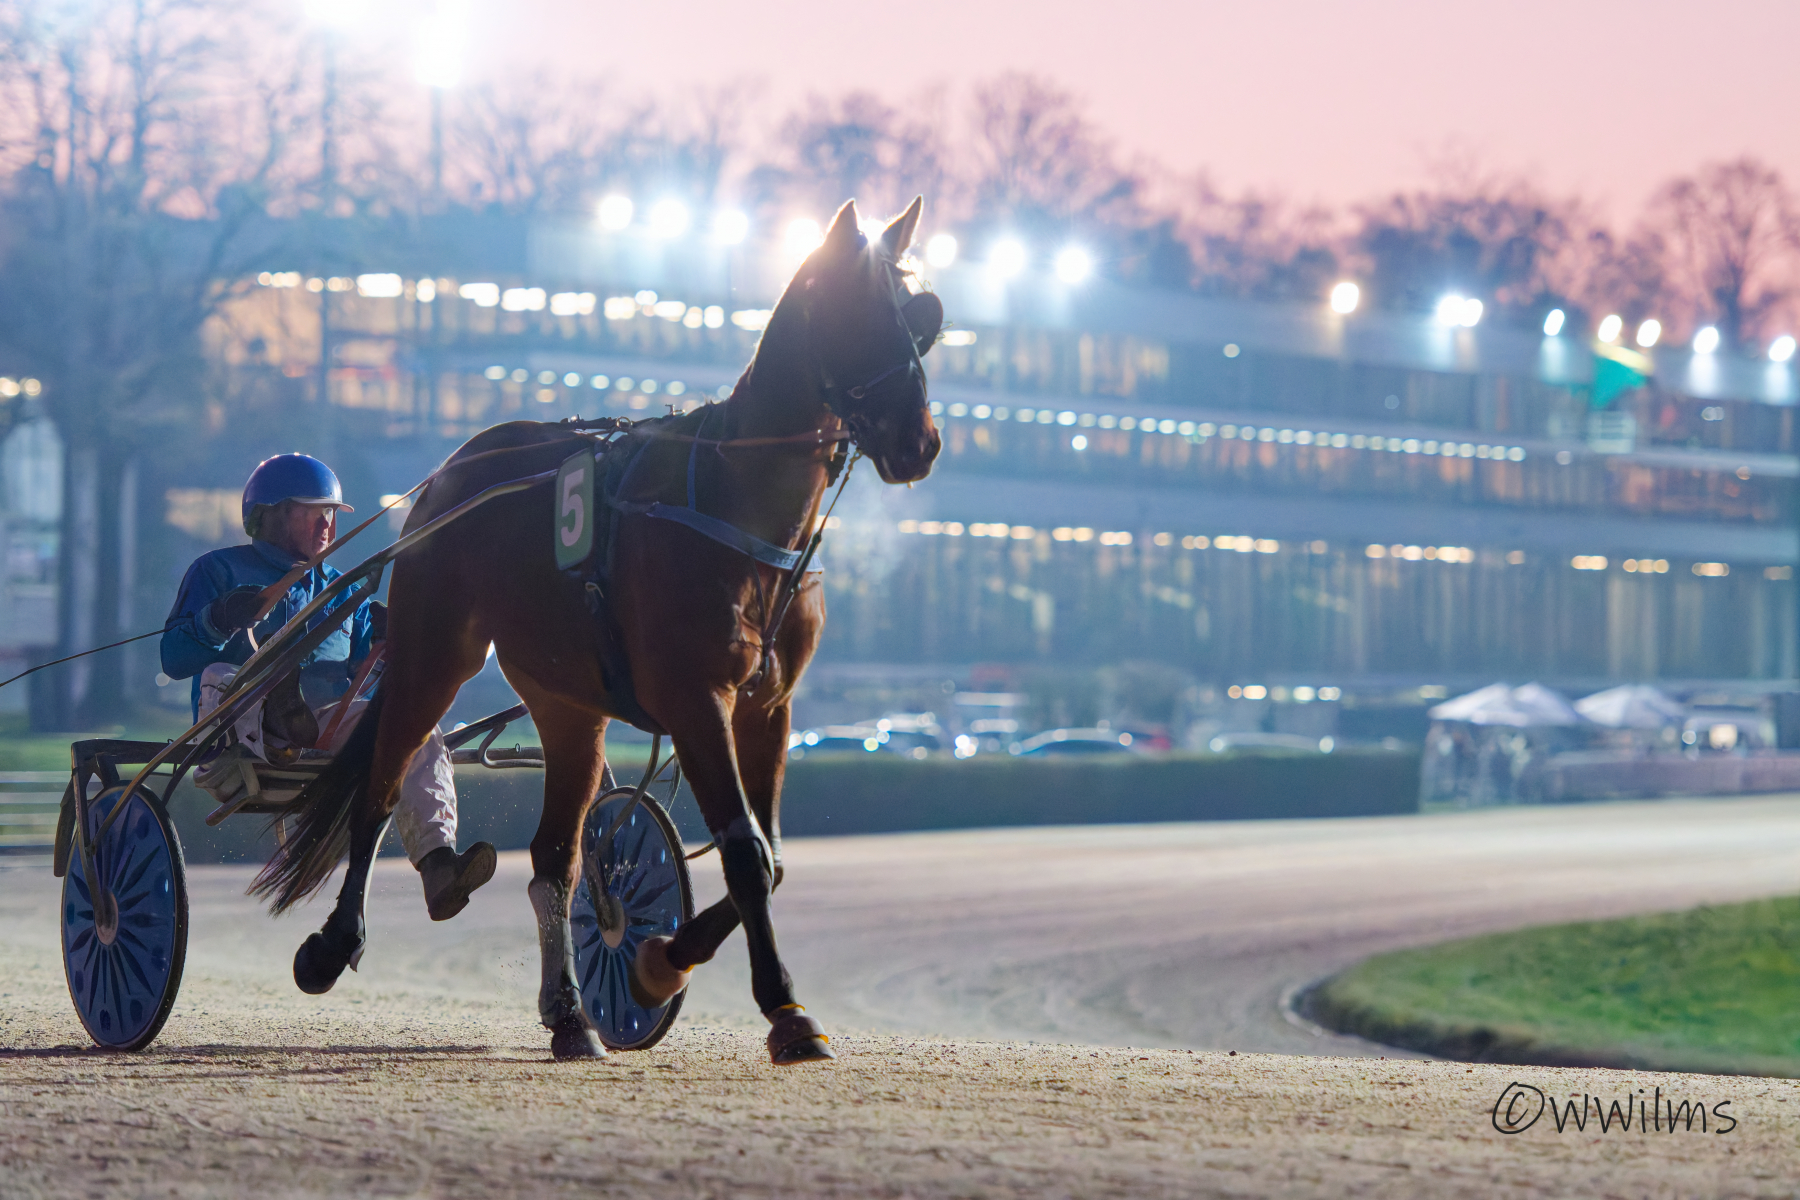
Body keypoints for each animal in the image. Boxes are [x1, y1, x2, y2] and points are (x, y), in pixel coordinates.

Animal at [251, 197, 943, 1063]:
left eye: (923, 318)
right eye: (859, 312)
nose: (920, 442)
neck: (737, 504)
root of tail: (456, 467)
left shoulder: (768, 707)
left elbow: (773, 856)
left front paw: (655, 962)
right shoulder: (696, 698)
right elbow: (746, 852)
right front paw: (782, 1009)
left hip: (566, 704)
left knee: (555, 859)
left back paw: (572, 1012)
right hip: (433, 653)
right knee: (380, 787)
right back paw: (333, 944)